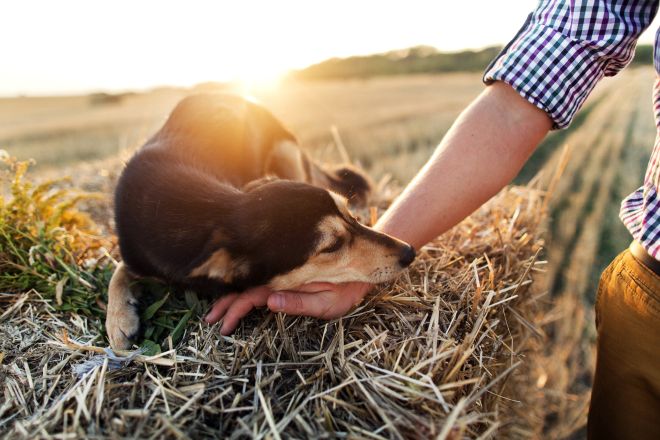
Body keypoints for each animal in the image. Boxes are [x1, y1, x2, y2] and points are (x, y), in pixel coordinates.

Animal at [105, 93, 416, 350]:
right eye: (331, 247)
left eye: (349, 214)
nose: (409, 251)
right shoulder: (136, 254)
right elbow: (118, 270)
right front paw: (118, 320)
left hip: (286, 150)